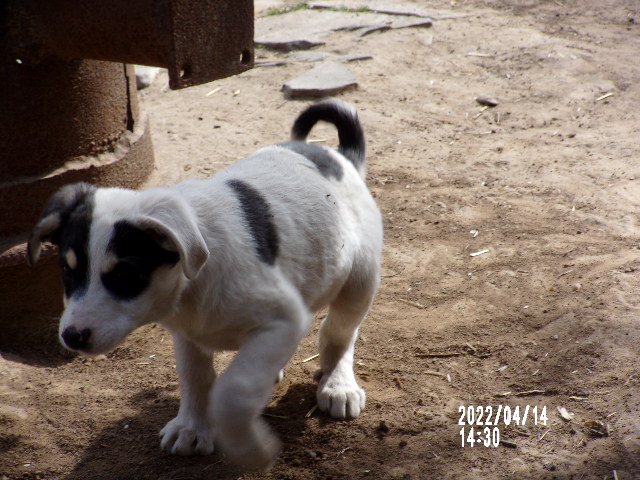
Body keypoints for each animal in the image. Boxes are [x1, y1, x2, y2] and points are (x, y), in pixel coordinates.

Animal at [28, 99, 380, 470]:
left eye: (125, 275)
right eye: (67, 270)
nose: (72, 337)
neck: (192, 282)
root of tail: (342, 158)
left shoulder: (284, 317)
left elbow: (233, 390)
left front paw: (251, 449)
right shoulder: (189, 333)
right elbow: (195, 378)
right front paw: (192, 428)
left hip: (359, 281)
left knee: (337, 333)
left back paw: (338, 384)